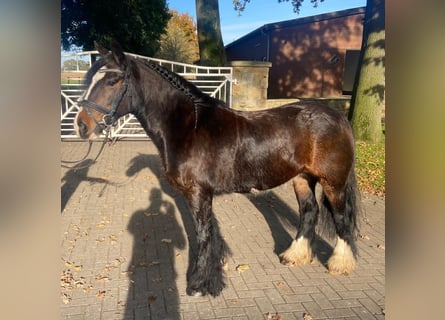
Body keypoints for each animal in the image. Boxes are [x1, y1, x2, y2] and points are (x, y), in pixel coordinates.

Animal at [74, 42, 360, 298]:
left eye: (112, 81)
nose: (82, 126)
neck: (189, 127)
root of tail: (338, 117)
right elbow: (207, 235)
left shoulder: (199, 193)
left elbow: (202, 236)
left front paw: (198, 285)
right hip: (302, 178)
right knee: (309, 212)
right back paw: (294, 255)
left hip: (333, 182)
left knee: (340, 218)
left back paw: (340, 263)